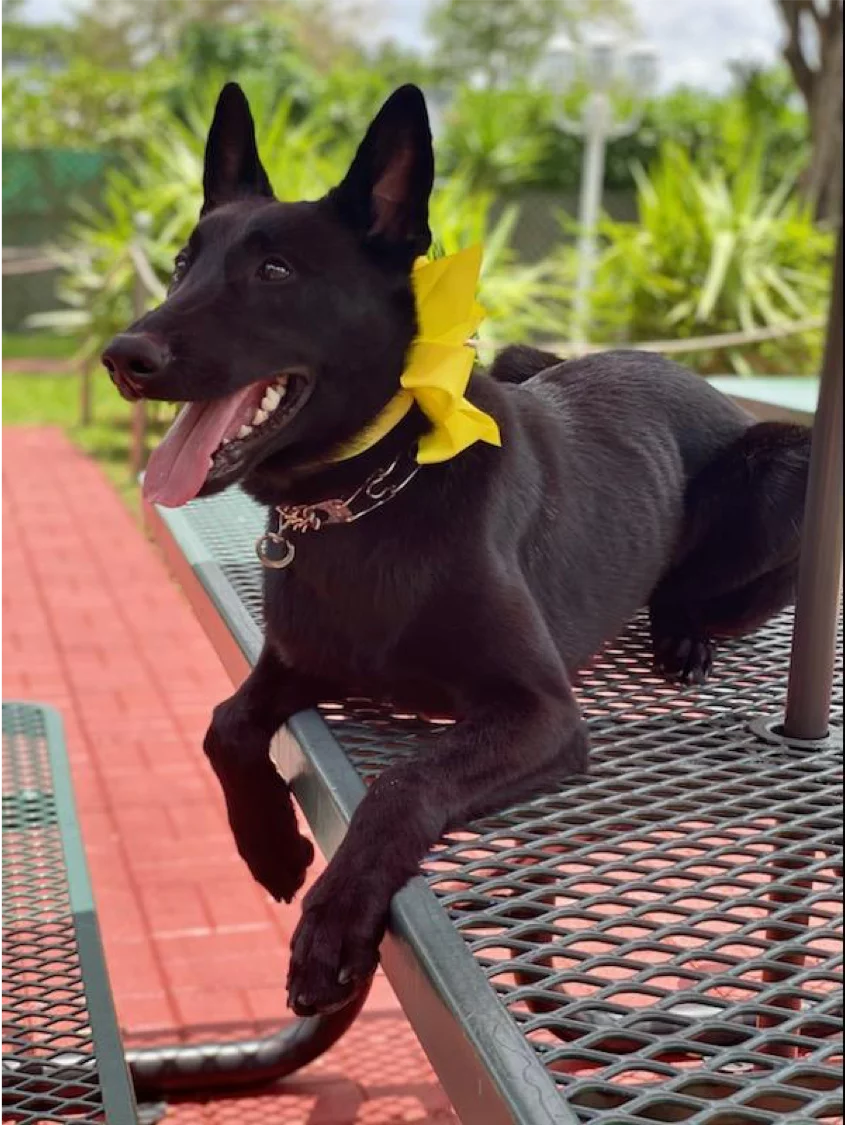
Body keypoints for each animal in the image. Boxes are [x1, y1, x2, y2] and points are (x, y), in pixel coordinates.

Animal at [105, 85, 814, 1021]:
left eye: (275, 272)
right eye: (182, 263)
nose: (123, 357)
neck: (371, 495)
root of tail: (692, 377)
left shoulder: (541, 713)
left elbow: (404, 782)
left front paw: (332, 925)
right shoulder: (300, 660)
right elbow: (224, 723)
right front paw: (271, 849)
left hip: (788, 466)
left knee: (686, 590)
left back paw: (682, 637)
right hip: (524, 360)